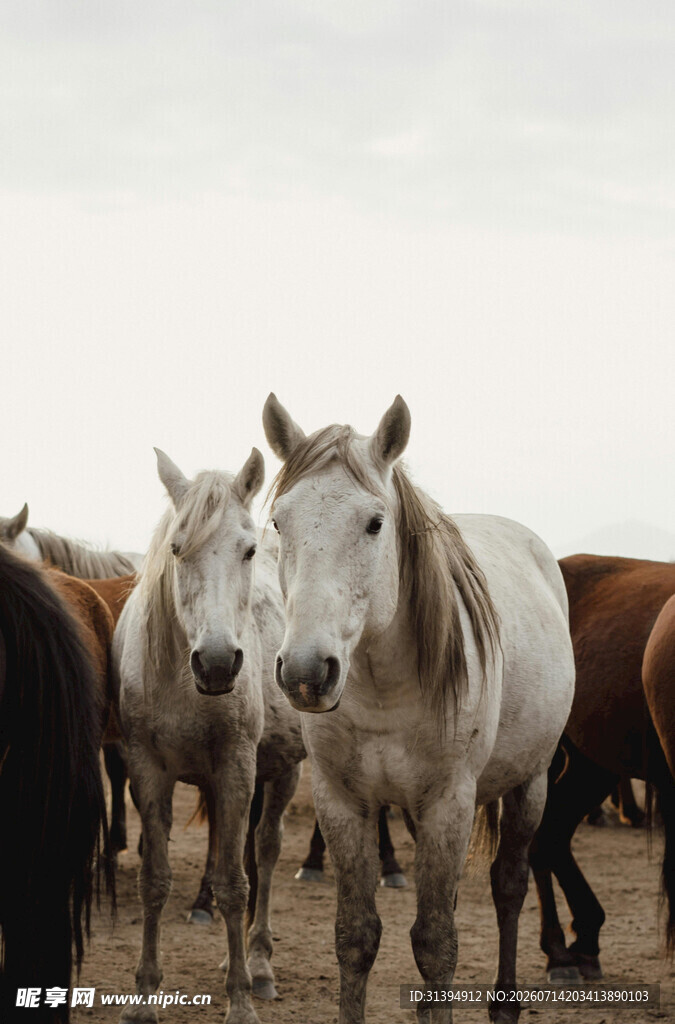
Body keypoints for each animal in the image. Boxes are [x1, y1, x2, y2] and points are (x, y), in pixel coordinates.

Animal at [114, 448, 304, 1024]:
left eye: (247, 550)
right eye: (178, 549)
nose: (218, 663)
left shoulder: (236, 766)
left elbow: (234, 885)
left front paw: (239, 1000)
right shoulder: (146, 772)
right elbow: (154, 879)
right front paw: (143, 997)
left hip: (283, 769)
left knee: (264, 851)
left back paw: (258, 963)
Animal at [262, 394, 575, 1024]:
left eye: (375, 523)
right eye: (280, 522)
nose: (306, 671)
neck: (384, 690)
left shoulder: (448, 803)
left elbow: (436, 944)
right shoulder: (343, 802)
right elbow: (356, 936)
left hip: (528, 783)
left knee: (509, 886)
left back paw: (507, 1003)